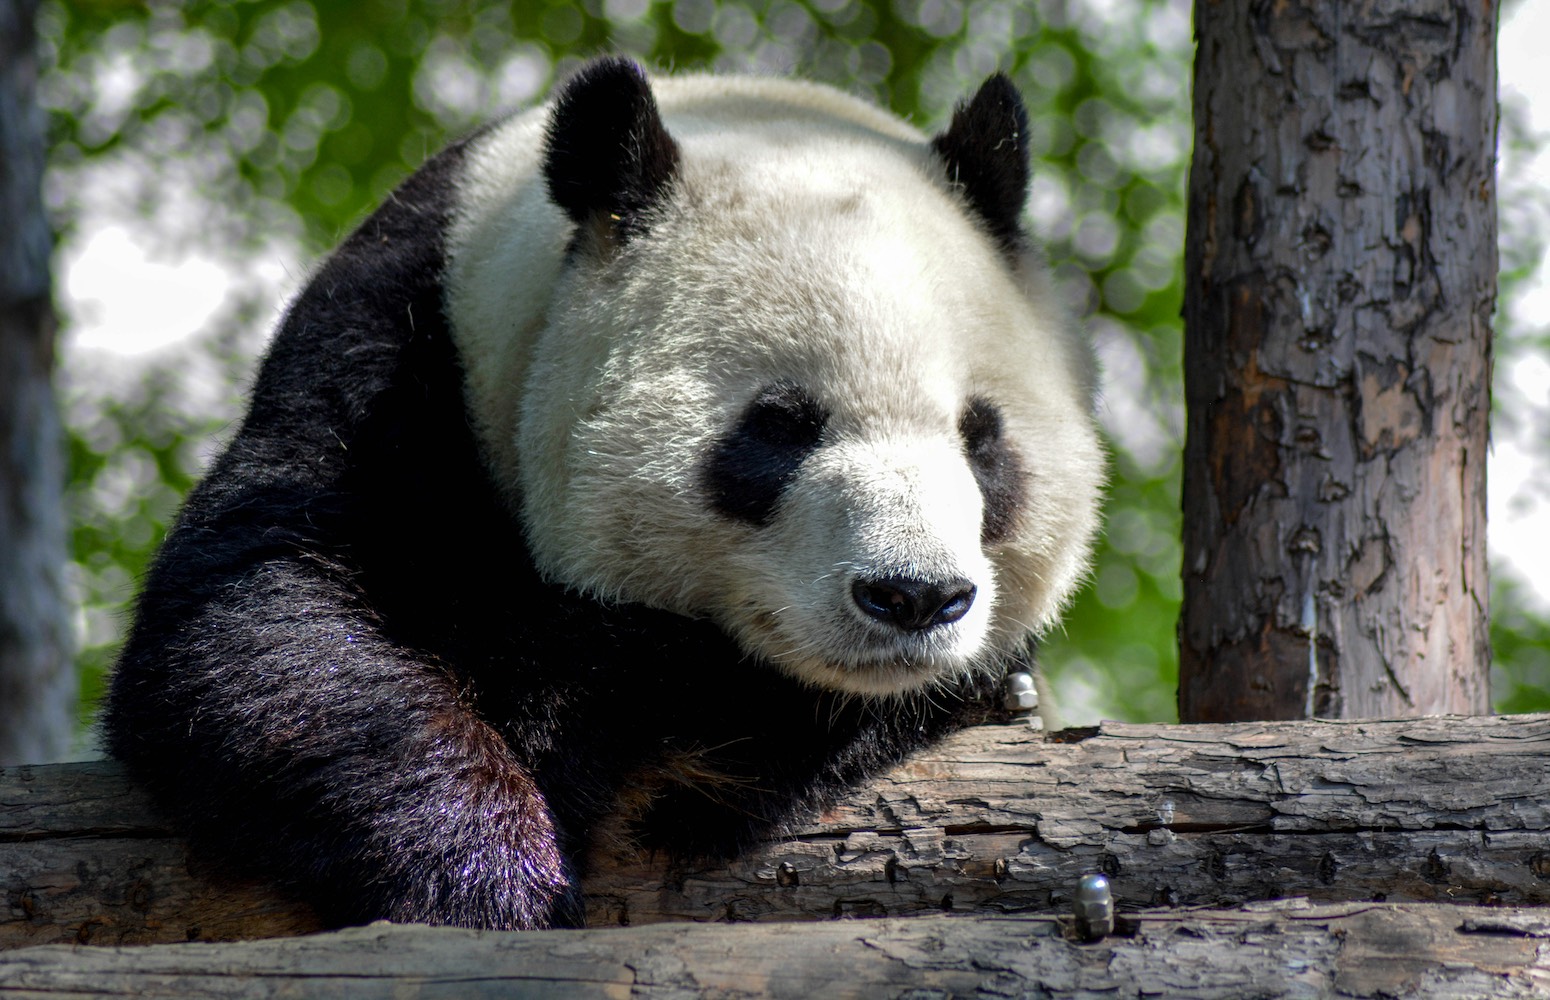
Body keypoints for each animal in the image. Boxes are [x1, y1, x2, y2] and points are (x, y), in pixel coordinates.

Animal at [106, 54, 1103, 930]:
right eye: (779, 426)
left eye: (981, 439)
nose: (914, 596)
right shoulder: (394, 352)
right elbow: (258, 623)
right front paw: (491, 879)